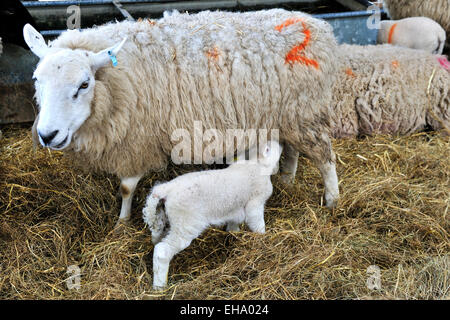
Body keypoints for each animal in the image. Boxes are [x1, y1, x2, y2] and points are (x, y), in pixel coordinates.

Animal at [22, 9, 342, 228]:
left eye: (84, 84)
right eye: (36, 79)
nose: (48, 135)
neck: (117, 80)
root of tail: (317, 25)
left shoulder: (138, 140)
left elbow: (126, 187)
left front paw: (121, 224)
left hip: (307, 112)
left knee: (325, 159)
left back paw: (332, 201)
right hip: (289, 115)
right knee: (293, 149)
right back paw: (287, 179)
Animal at [142, 140, 284, 290]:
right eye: (269, 147)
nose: (281, 143)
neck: (255, 165)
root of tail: (166, 189)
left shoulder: (235, 208)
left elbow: (233, 224)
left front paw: (234, 233)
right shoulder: (255, 203)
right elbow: (257, 223)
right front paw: (263, 238)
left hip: (165, 218)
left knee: (157, 237)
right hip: (186, 224)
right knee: (162, 251)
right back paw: (159, 286)